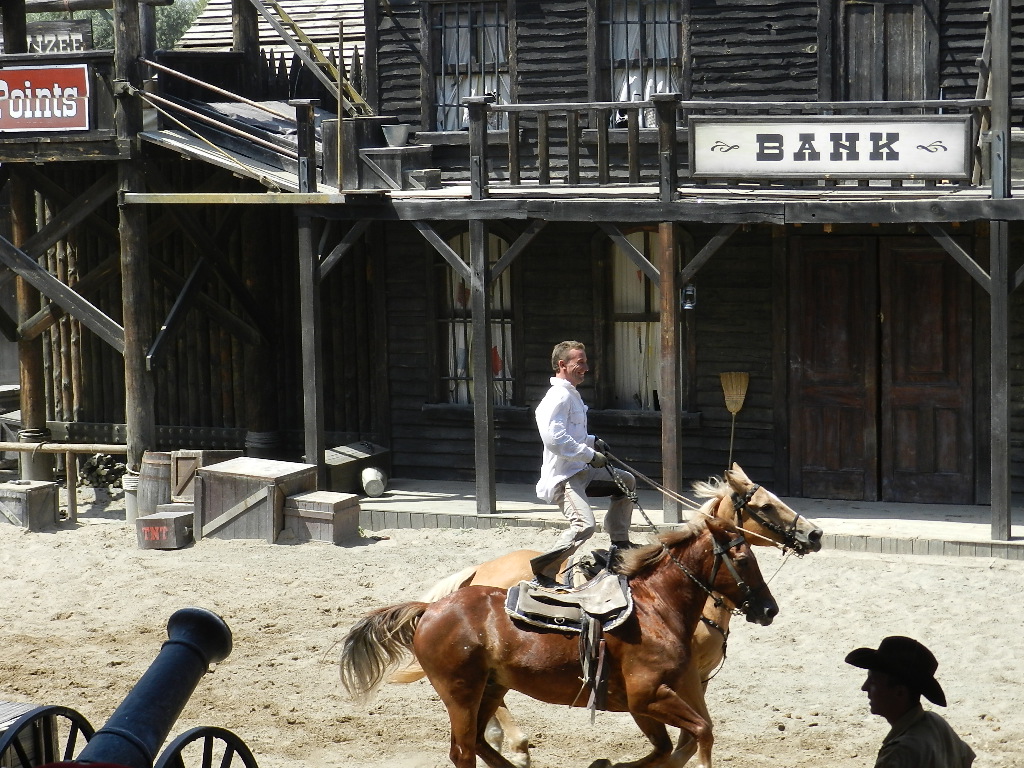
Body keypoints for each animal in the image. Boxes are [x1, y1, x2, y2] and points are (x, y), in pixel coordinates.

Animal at [339, 518, 778, 768]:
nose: (769, 609)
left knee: (479, 743)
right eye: (742, 558)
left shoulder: (649, 700)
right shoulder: (648, 696)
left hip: (490, 688)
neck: (656, 608)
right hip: (461, 693)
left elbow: (666, 749)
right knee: (462, 751)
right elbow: (699, 733)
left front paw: (606, 766)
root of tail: (430, 608)